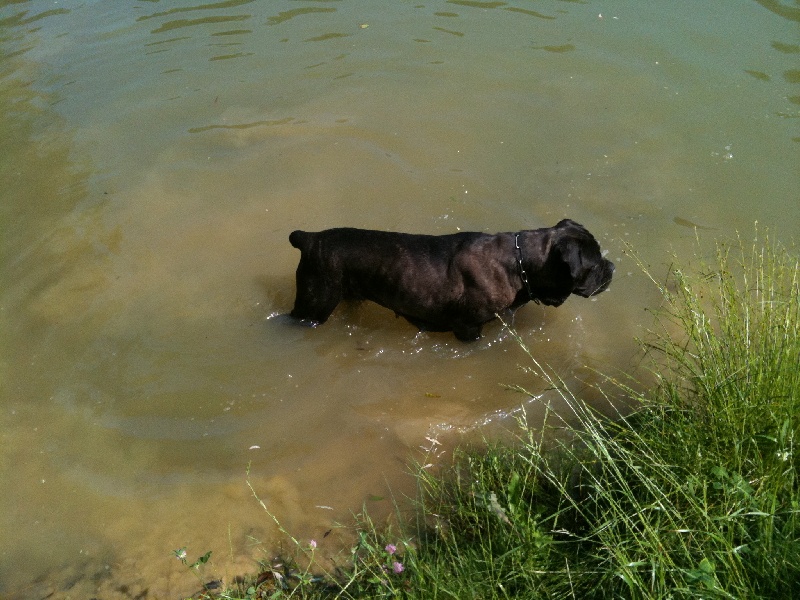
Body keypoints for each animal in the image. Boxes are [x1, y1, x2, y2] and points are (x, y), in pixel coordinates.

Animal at [290, 219, 616, 342]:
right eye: (594, 264)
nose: (612, 266)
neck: (519, 263)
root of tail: (309, 238)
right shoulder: (468, 328)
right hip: (313, 305)